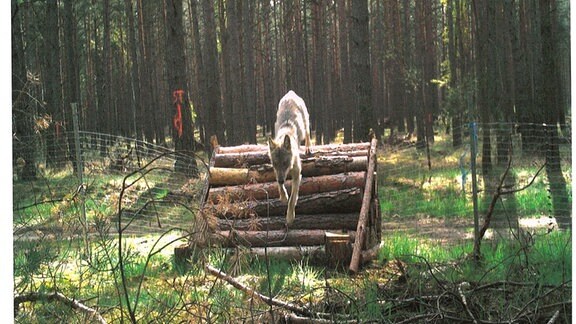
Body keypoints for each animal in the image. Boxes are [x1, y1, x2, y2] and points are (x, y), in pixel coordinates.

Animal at [268, 90, 312, 227]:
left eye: (285, 163)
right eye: (275, 164)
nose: (282, 180)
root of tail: (290, 93)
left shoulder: (297, 175)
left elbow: (292, 199)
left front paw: (290, 217)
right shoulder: (277, 173)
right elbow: (280, 187)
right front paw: (283, 197)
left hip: (305, 124)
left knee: (308, 134)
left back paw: (308, 148)